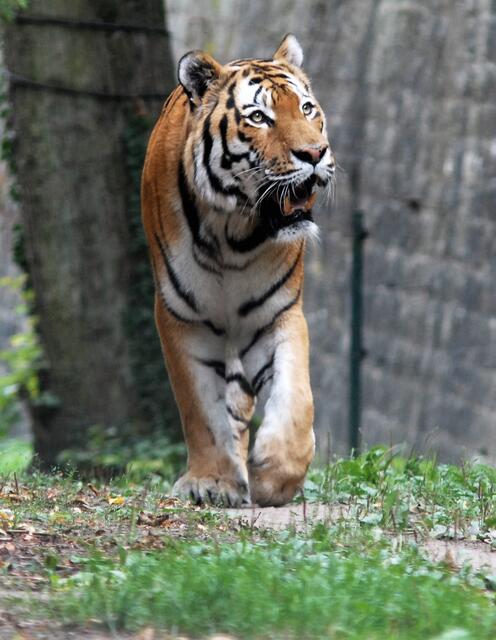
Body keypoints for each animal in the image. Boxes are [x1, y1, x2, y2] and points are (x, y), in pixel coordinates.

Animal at [141, 34, 335, 507]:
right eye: (259, 117)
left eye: (307, 108)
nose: (315, 153)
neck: (234, 235)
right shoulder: (181, 319)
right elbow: (202, 410)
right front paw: (212, 482)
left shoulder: (278, 314)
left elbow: (296, 397)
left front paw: (275, 477)